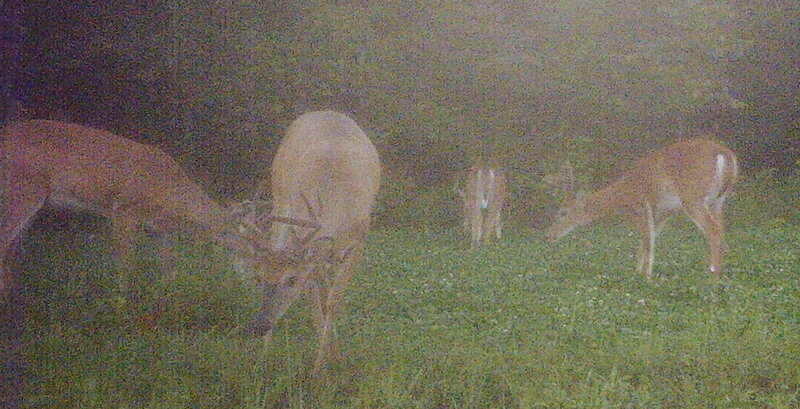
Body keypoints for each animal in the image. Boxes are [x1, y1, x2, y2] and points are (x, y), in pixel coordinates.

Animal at [0, 119, 284, 306]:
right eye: (257, 250)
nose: (261, 285)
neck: (169, 192)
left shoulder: (160, 228)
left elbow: (169, 266)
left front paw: (169, 298)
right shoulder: (124, 211)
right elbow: (127, 263)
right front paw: (122, 304)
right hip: (23, 190)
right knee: (4, 240)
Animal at [240, 110, 381, 377]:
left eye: (291, 279)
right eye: (259, 277)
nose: (259, 325)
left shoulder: (359, 242)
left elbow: (333, 300)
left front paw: (322, 367)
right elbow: (315, 299)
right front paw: (321, 369)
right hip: (280, 195)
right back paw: (264, 355)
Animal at [545, 139, 738, 279]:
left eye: (562, 212)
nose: (549, 235)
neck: (624, 191)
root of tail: (725, 154)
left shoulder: (642, 205)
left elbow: (646, 241)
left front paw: (644, 276)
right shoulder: (664, 212)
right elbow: (648, 241)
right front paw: (640, 272)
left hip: (693, 197)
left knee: (714, 231)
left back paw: (712, 279)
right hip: (719, 201)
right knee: (722, 234)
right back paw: (722, 276)